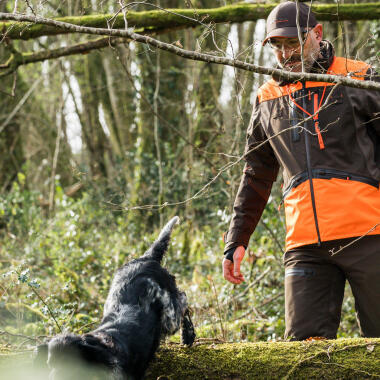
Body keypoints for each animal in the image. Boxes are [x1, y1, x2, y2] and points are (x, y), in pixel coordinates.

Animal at [36, 217, 194, 380]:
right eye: (50, 365)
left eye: (69, 365)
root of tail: (147, 258)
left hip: (170, 317)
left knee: (183, 299)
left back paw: (188, 335)